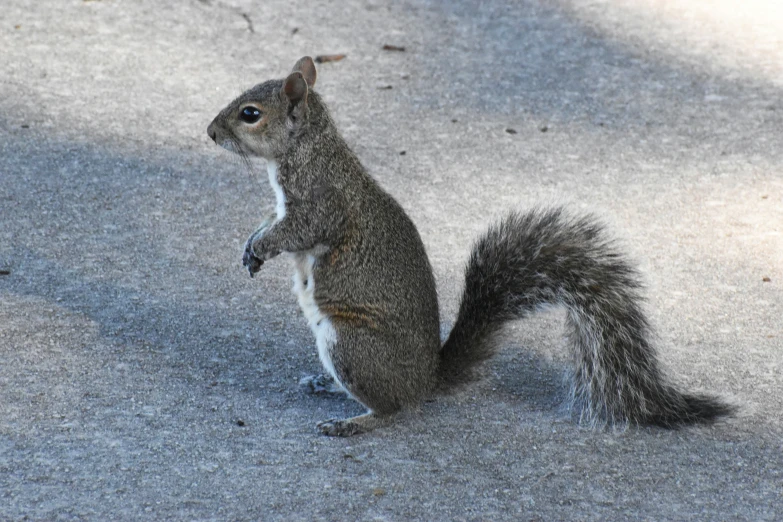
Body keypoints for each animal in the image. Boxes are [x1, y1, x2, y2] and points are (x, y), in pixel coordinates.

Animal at [208, 55, 736, 434]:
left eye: (250, 114)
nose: (210, 132)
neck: (308, 150)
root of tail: (426, 380)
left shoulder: (320, 205)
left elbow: (295, 233)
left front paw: (262, 248)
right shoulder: (284, 205)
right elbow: (269, 221)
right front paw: (250, 245)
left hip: (351, 343)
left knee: (396, 409)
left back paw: (353, 422)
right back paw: (326, 387)